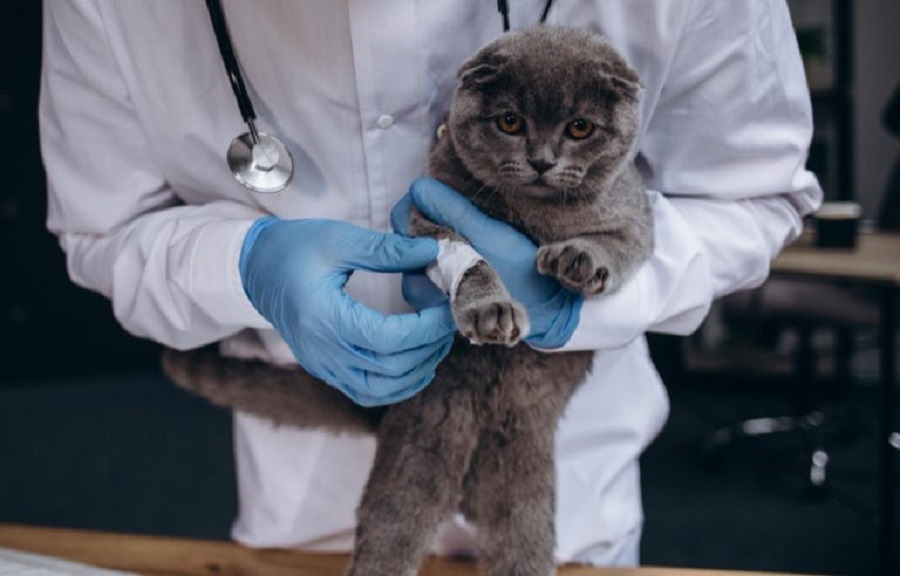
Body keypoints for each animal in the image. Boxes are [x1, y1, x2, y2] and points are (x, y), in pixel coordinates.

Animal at [163, 27, 652, 576]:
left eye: (580, 127)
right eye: (510, 121)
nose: (543, 161)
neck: (532, 214)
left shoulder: (635, 215)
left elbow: (619, 245)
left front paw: (579, 260)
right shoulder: (428, 216)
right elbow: (470, 261)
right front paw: (491, 309)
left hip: (523, 472)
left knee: (520, 538)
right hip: (420, 451)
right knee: (390, 530)